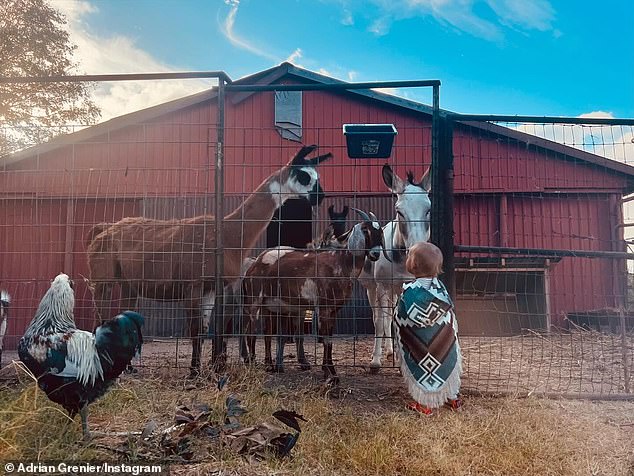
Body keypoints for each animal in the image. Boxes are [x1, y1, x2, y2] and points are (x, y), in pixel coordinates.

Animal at [86, 145, 330, 376]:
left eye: (318, 175)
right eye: (303, 175)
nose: (320, 196)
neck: (227, 235)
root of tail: (103, 230)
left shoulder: (211, 288)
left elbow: (203, 330)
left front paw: (199, 369)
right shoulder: (193, 284)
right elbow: (195, 330)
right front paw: (194, 372)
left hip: (129, 282)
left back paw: (128, 368)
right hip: (103, 276)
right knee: (100, 316)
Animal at [242, 208, 388, 384]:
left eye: (379, 231)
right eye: (365, 230)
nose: (375, 253)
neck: (340, 263)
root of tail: (254, 265)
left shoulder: (334, 310)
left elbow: (329, 340)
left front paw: (330, 372)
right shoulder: (323, 308)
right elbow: (325, 340)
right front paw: (329, 374)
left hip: (268, 305)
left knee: (267, 332)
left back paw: (269, 365)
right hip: (254, 299)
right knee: (250, 331)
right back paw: (251, 362)